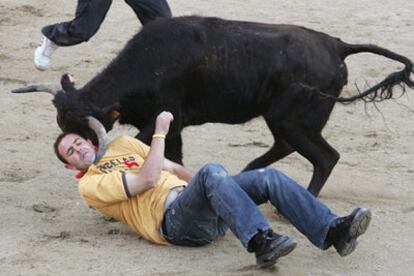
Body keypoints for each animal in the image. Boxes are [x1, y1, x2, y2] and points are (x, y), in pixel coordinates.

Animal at [12, 16, 414, 196]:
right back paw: (249, 173)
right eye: (63, 124)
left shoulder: (166, 119)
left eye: (83, 131)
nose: (74, 158)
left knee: (325, 157)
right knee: (288, 147)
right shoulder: (173, 127)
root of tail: (337, 45)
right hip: (286, 120)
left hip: (292, 120)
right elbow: (172, 156)